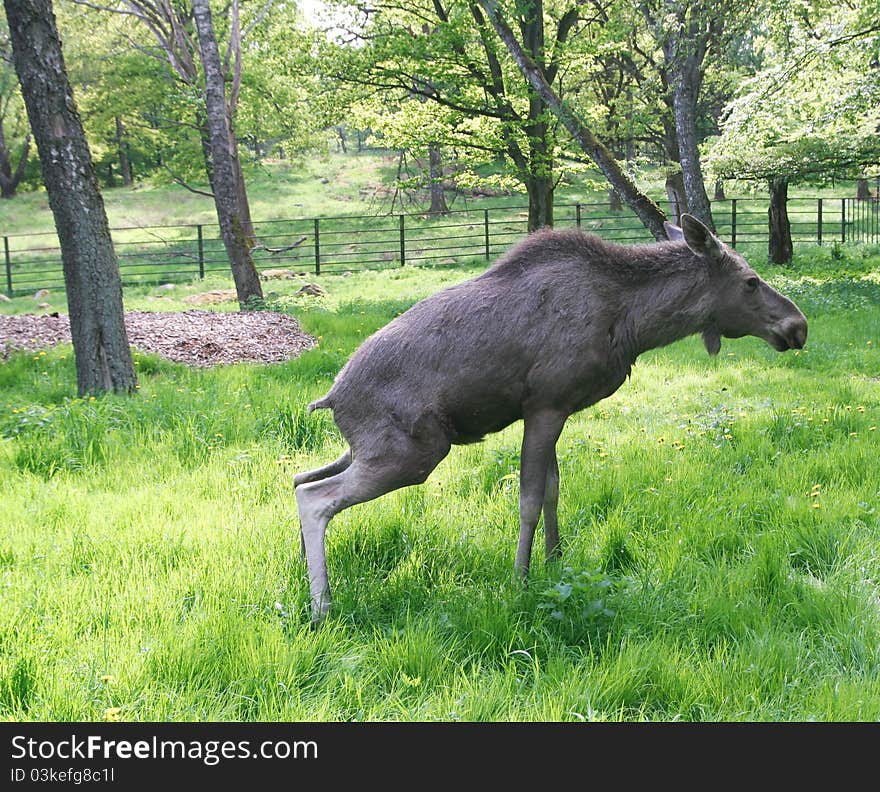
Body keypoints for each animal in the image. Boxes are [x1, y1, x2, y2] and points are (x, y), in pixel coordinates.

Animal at [294, 213, 804, 620]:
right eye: (750, 281)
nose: (797, 326)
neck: (634, 323)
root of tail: (331, 397)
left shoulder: (557, 411)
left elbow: (555, 491)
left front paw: (554, 563)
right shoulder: (545, 405)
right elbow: (530, 499)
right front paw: (520, 578)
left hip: (368, 450)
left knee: (299, 478)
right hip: (413, 450)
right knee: (315, 497)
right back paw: (322, 607)